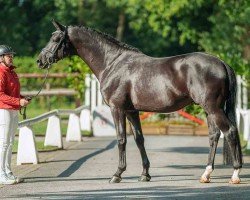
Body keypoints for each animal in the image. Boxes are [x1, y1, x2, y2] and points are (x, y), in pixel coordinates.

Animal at [37, 20, 242, 184]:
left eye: (56, 39)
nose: (40, 60)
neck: (112, 63)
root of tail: (221, 63)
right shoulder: (131, 111)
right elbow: (139, 139)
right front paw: (145, 174)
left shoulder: (117, 109)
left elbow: (121, 139)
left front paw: (117, 174)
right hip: (210, 110)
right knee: (214, 135)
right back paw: (206, 174)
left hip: (213, 108)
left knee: (230, 131)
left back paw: (235, 174)